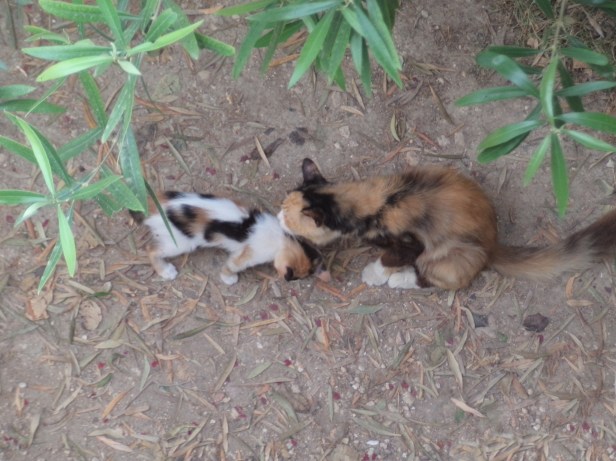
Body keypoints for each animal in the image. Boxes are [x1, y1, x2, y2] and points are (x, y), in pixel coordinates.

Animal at [131, 191, 321, 285]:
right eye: (297, 277)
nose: (295, 280)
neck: (281, 238)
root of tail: (154, 206)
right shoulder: (250, 255)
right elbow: (233, 265)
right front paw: (228, 278)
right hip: (180, 242)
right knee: (151, 249)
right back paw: (165, 271)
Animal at [277, 158, 616, 291]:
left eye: (288, 218)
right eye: (282, 207)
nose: (278, 218)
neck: (372, 200)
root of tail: (493, 244)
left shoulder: (409, 242)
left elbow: (390, 256)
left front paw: (377, 273)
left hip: (447, 256)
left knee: (429, 279)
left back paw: (399, 280)